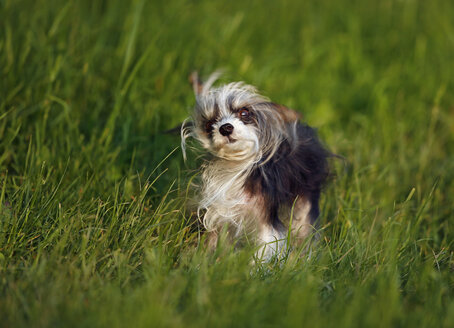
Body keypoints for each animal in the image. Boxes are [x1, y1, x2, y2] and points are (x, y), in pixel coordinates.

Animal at [181, 73, 330, 262]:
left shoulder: (266, 220)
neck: (236, 166)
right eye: (209, 124)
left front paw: (253, 269)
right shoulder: (222, 214)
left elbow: (264, 250)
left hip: (305, 198)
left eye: (244, 113)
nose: (225, 128)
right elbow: (214, 243)